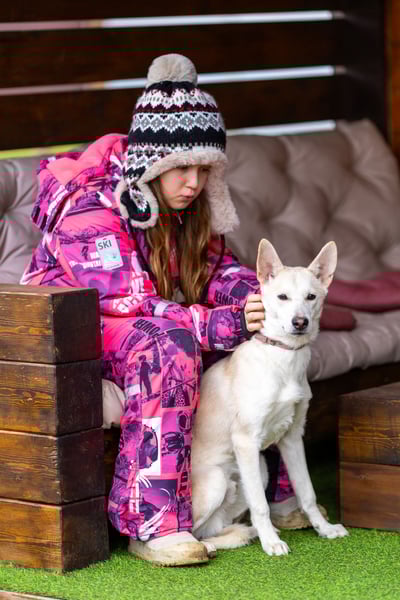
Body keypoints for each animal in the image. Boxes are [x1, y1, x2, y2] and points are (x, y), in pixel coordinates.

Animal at [191, 239, 349, 556]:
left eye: (311, 297)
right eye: (282, 297)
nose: (299, 322)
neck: (282, 356)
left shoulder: (292, 438)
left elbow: (307, 492)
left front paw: (324, 529)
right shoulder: (246, 441)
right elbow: (261, 506)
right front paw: (272, 544)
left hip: (259, 470)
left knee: (218, 528)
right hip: (217, 479)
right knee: (194, 532)